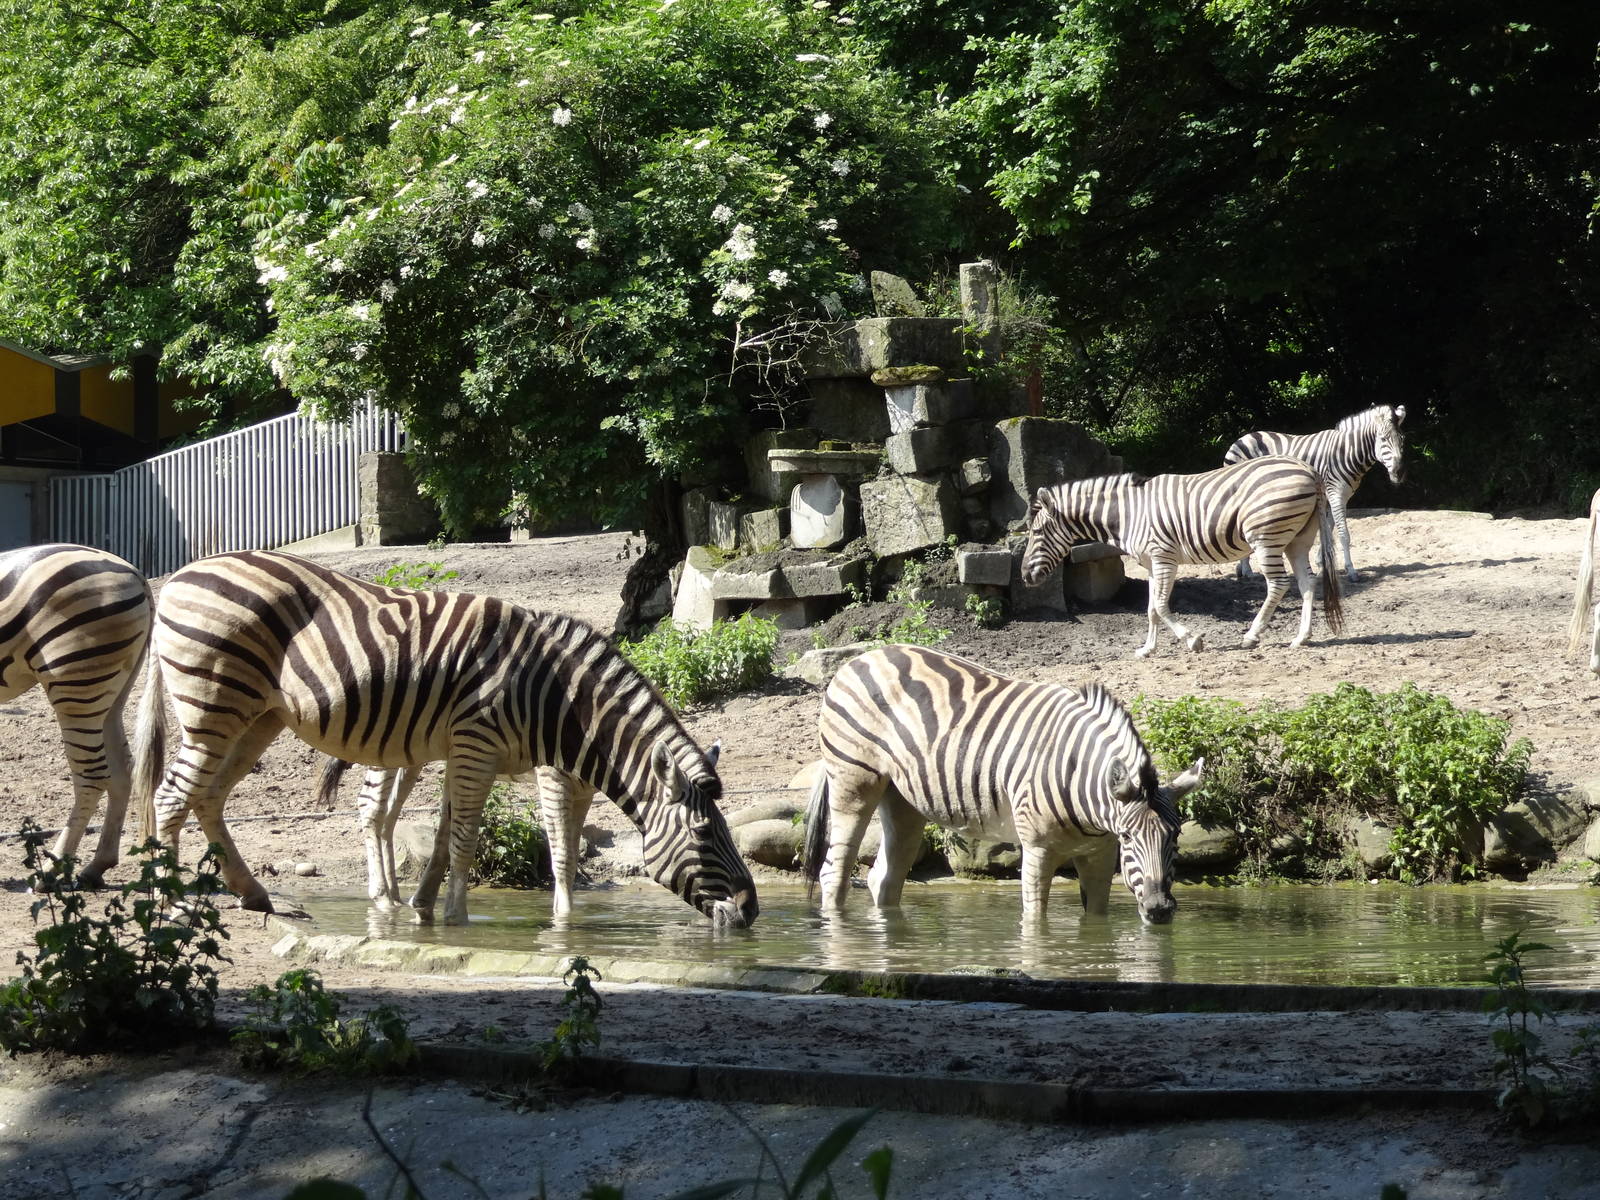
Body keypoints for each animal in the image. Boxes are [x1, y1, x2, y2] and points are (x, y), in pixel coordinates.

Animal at [0, 544, 152, 887]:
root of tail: (135, 572)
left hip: (76, 684)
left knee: (92, 777)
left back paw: (52, 870)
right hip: (112, 691)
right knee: (122, 769)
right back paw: (98, 865)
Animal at [129, 550, 757, 927]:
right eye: (705, 835)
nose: (751, 911)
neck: (554, 700)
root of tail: (180, 576)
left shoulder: (466, 750)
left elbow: (443, 839)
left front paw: (425, 908)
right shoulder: (478, 744)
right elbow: (475, 839)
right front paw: (463, 919)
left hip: (257, 717)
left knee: (207, 797)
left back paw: (253, 894)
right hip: (215, 703)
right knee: (170, 796)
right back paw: (166, 903)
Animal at [802, 644, 1203, 923]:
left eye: (1175, 836)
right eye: (1129, 838)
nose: (1159, 910)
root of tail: (862, 657)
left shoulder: (1100, 854)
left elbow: (1096, 921)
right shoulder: (1038, 849)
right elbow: (1035, 920)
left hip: (904, 800)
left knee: (884, 878)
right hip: (854, 782)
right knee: (834, 873)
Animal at [1022, 455, 1344, 658]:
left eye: (1036, 533)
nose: (1024, 577)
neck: (1128, 514)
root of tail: (1309, 469)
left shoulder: (1164, 558)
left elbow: (1161, 606)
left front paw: (1193, 640)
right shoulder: (1151, 564)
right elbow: (1150, 609)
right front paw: (1147, 649)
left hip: (1266, 537)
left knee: (1278, 585)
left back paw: (1251, 636)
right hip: (1297, 539)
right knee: (1307, 583)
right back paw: (1301, 638)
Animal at [1223, 404, 1407, 581]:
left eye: (1402, 440)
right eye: (1383, 439)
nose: (1399, 473)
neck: (1347, 452)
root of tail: (1240, 439)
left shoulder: (1337, 497)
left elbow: (1328, 532)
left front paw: (1320, 565)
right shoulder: (1336, 494)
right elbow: (1343, 534)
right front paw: (1351, 571)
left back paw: (1242, 569)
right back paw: (1248, 571)